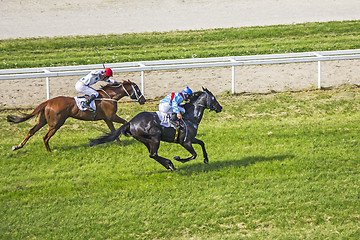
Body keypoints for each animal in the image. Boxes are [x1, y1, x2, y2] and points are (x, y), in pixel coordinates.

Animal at [7, 80, 146, 152]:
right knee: (45, 137)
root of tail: (48, 102)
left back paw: (17, 146)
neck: (109, 96)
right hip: (56, 124)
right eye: (137, 90)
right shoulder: (111, 116)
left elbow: (113, 130)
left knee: (31, 131)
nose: (143, 100)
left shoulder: (107, 118)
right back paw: (49, 151)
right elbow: (124, 123)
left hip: (43, 120)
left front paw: (119, 143)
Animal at [90, 87, 221, 171]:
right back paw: (170, 164)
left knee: (153, 155)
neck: (190, 116)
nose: (220, 108)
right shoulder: (185, 142)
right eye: (213, 98)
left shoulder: (191, 138)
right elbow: (194, 155)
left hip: (145, 141)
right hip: (155, 138)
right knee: (153, 154)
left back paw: (170, 165)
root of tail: (131, 122)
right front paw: (179, 159)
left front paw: (206, 159)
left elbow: (202, 143)